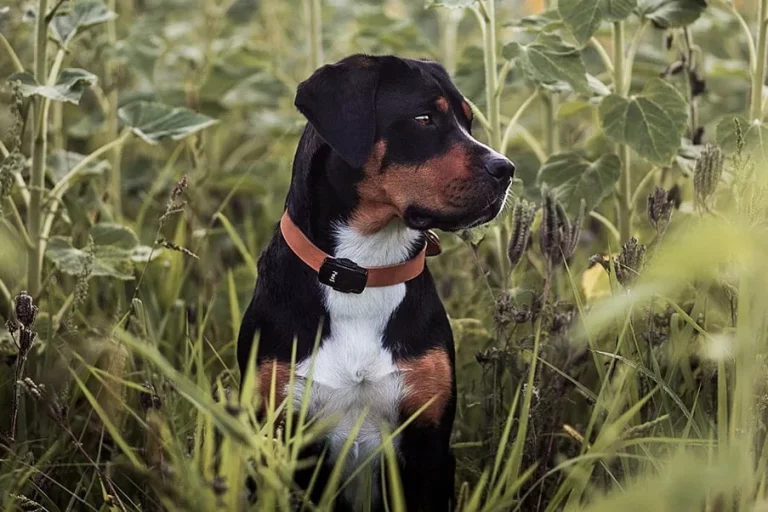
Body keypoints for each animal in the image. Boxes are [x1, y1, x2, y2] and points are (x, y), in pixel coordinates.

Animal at [238, 54, 516, 510]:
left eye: (468, 122)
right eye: (423, 118)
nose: (506, 169)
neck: (365, 271)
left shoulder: (426, 443)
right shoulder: (281, 431)